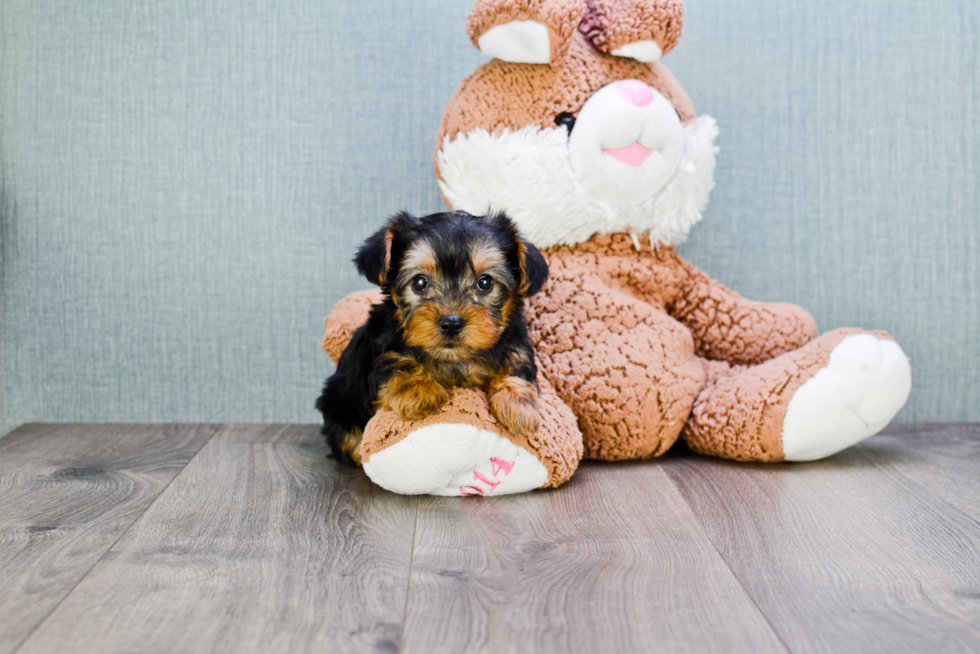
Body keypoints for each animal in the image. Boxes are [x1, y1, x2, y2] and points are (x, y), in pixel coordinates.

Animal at [316, 210, 548, 466]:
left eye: (485, 282)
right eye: (419, 282)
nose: (451, 323)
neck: (454, 359)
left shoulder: (516, 341)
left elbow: (517, 365)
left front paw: (518, 406)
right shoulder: (382, 347)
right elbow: (395, 362)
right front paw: (419, 390)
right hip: (338, 402)